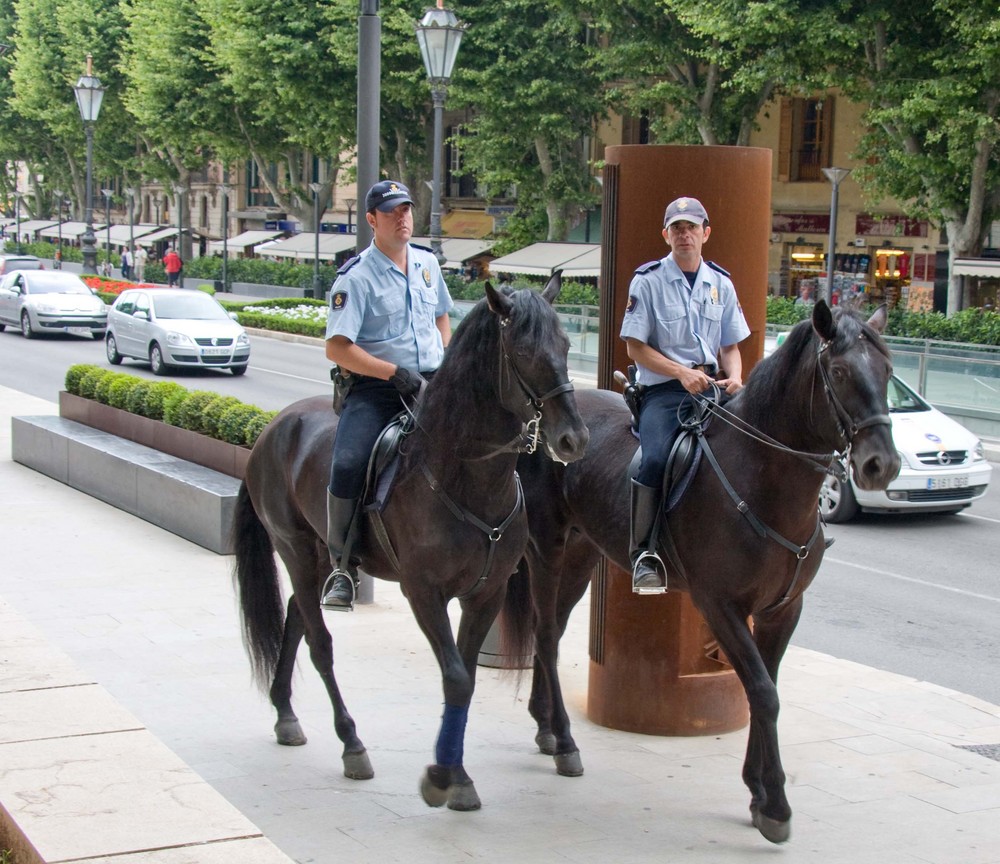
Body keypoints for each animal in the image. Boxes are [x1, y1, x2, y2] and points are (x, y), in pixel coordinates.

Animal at [232, 276, 592, 808]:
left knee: (298, 616)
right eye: (523, 351)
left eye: (567, 346)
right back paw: (351, 743)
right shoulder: (423, 593)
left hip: (318, 554)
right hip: (293, 547)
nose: (574, 439)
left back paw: (286, 714)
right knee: (319, 643)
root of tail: (275, 425)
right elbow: (457, 678)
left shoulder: (486, 594)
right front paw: (443, 775)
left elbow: (463, 677)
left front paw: (456, 771)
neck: (467, 476)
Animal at [504, 298, 904, 844]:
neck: (762, 478)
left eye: (887, 371)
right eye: (839, 372)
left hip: (583, 554)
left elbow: (765, 689)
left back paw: (545, 725)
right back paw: (564, 742)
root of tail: (549, 425)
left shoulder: (783, 610)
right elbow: (763, 693)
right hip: (546, 549)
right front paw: (776, 805)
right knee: (544, 636)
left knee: (556, 630)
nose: (881, 465)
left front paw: (757, 790)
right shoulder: (720, 607)